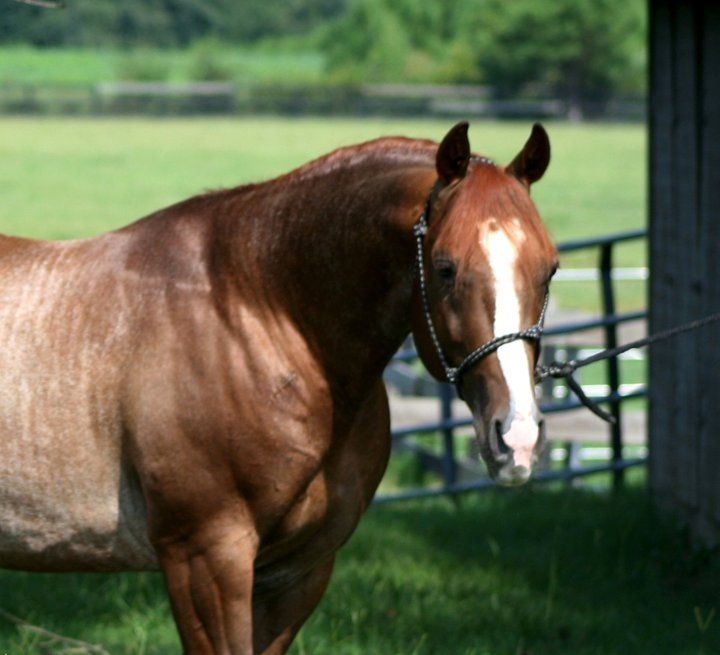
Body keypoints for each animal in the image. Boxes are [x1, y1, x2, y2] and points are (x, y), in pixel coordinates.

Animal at [0, 122, 557, 653]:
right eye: (444, 268)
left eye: (549, 269)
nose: (518, 437)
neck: (256, 315)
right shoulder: (204, 556)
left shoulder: (297, 570)